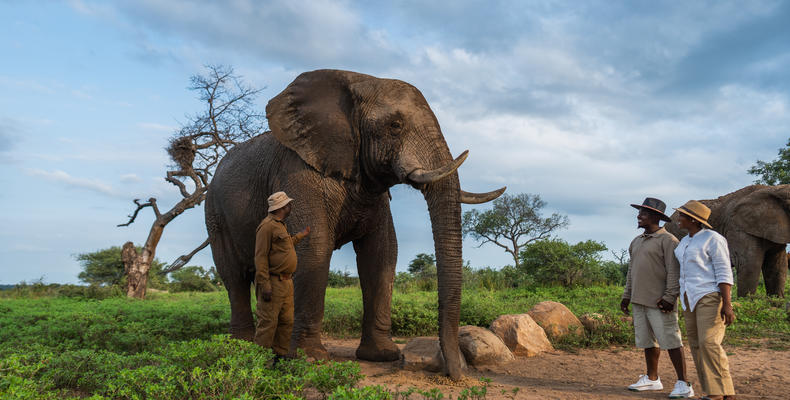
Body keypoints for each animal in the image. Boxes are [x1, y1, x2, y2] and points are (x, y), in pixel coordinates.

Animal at [204, 69, 505, 379]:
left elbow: (382, 253)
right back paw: (242, 348)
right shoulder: (297, 173)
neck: (358, 81)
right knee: (234, 276)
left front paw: (382, 355)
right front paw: (311, 360)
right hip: (214, 212)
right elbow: (315, 247)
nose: (455, 374)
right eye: (395, 126)